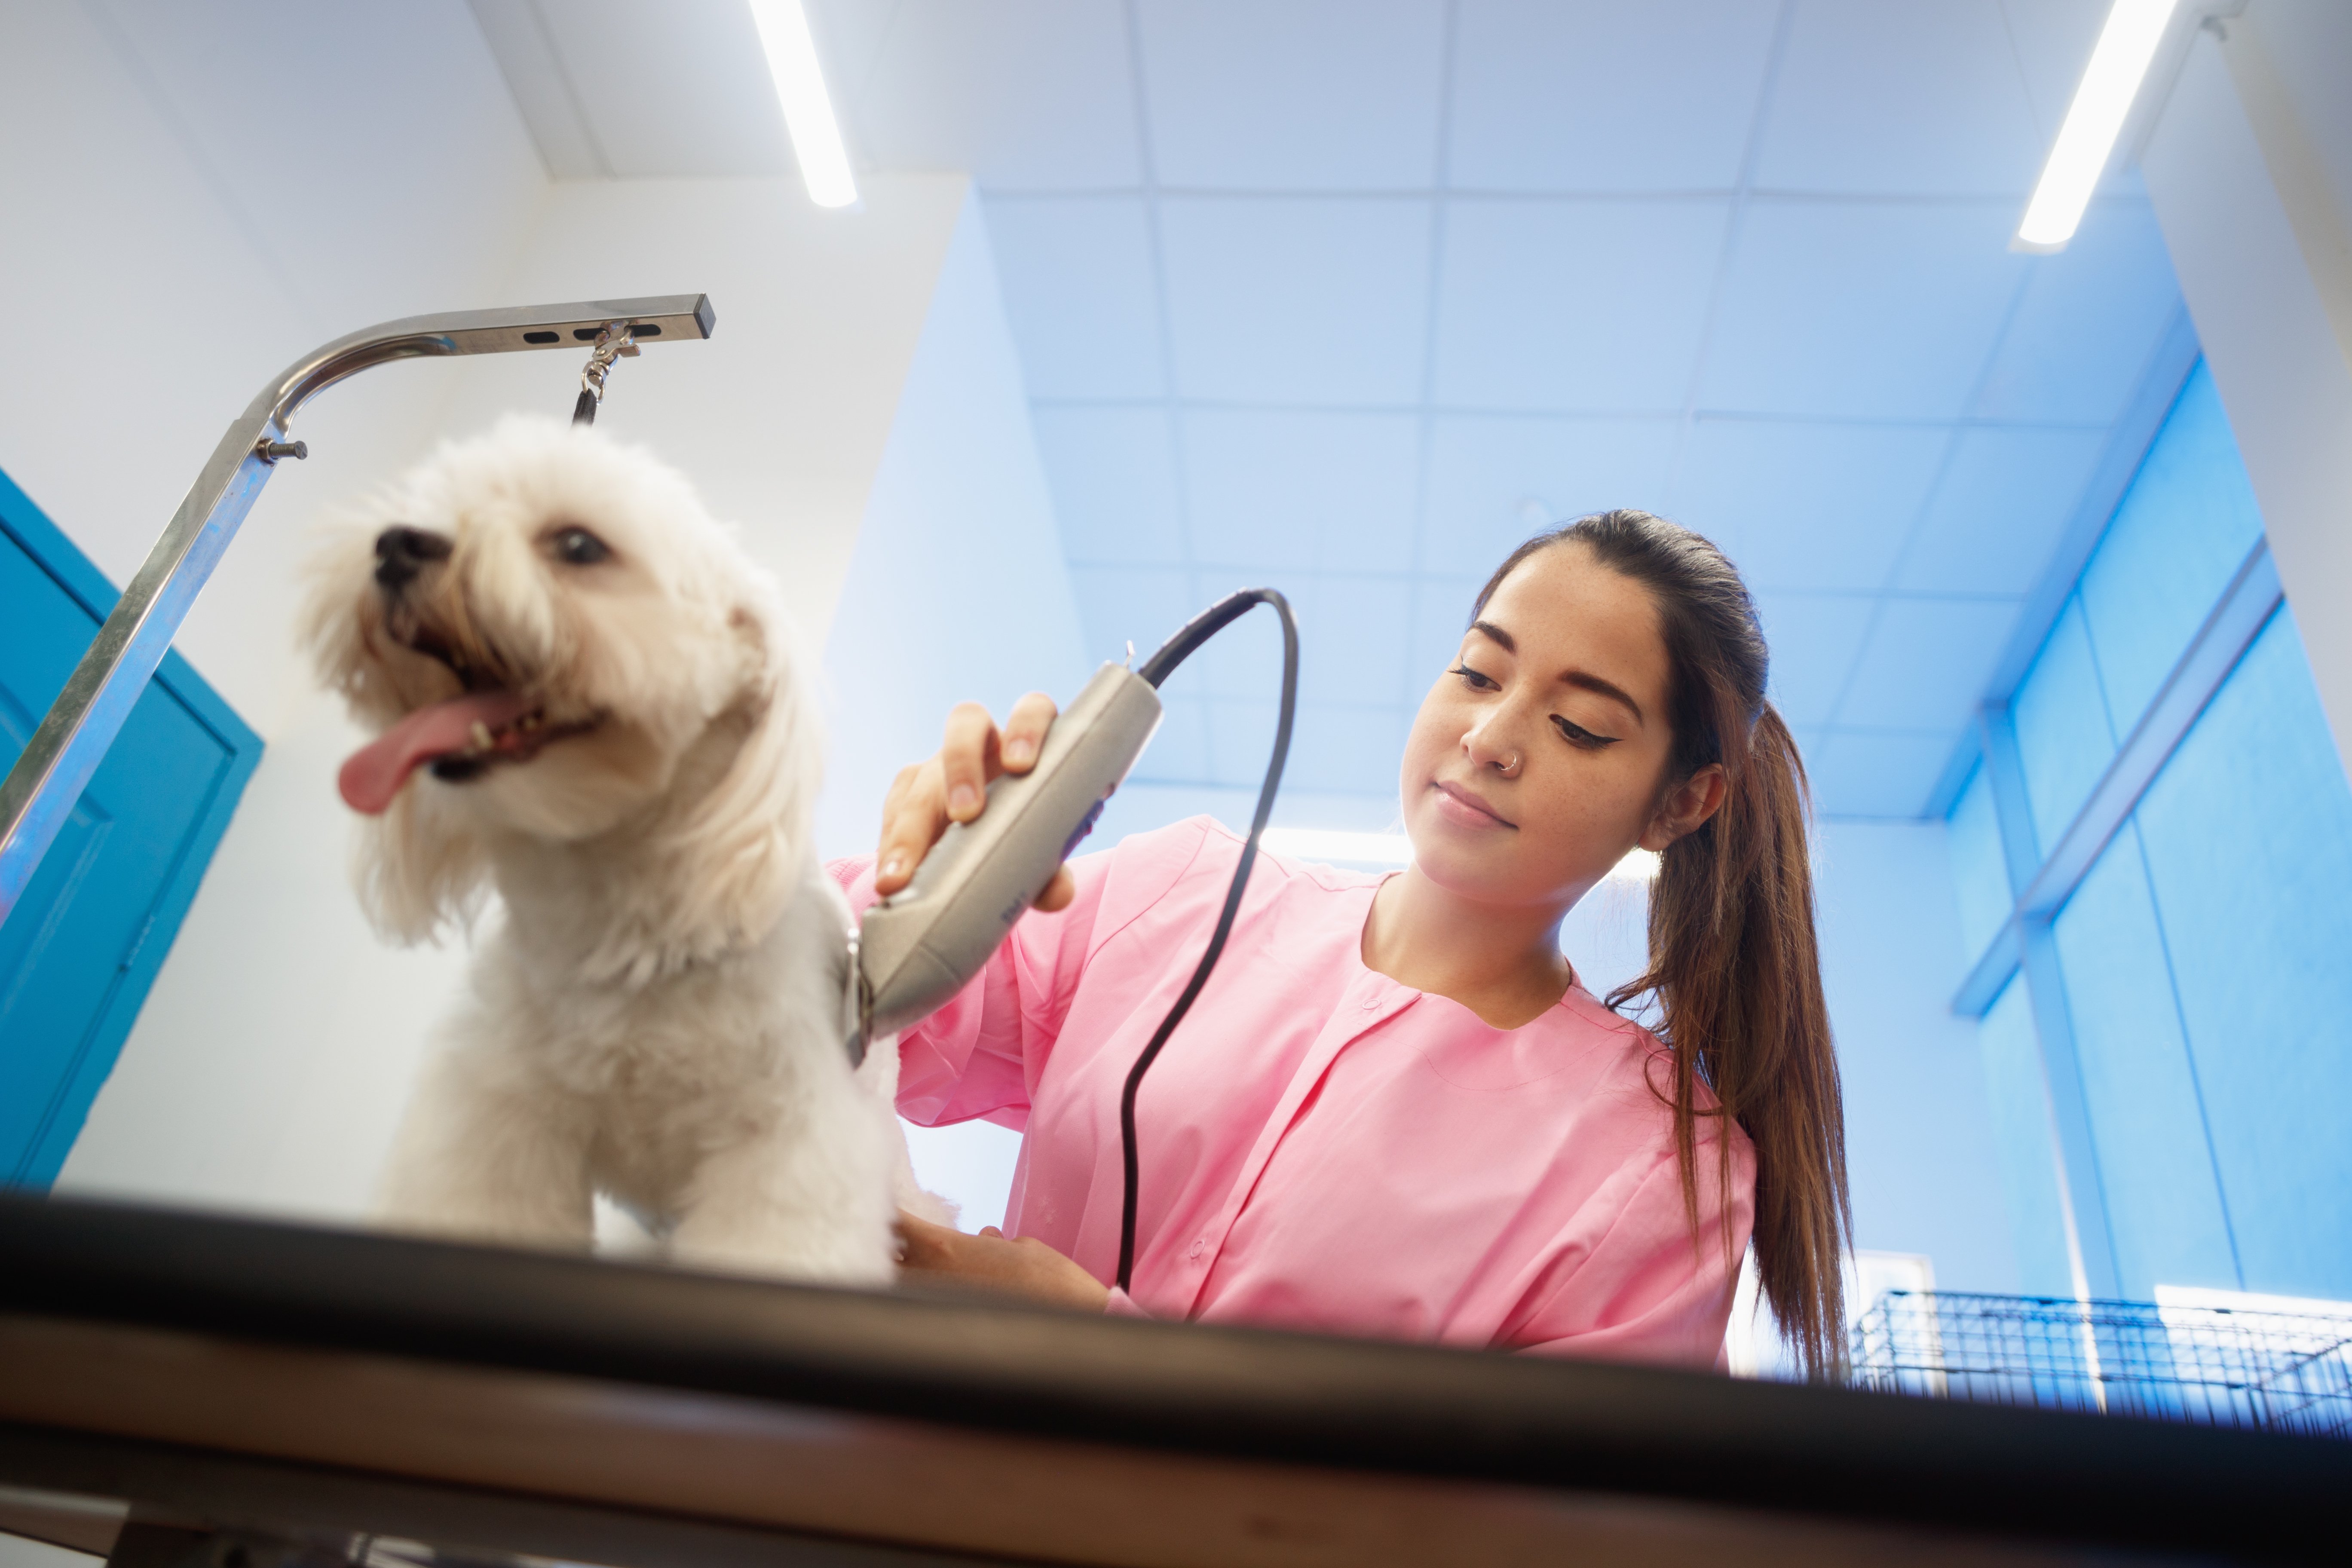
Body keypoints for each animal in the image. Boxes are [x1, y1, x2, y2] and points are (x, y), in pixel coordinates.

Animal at [303, 416, 936, 1288]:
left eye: (578, 545)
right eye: (429, 506)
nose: (395, 546)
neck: (625, 923)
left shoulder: (790, 1150)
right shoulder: (496, 1114)